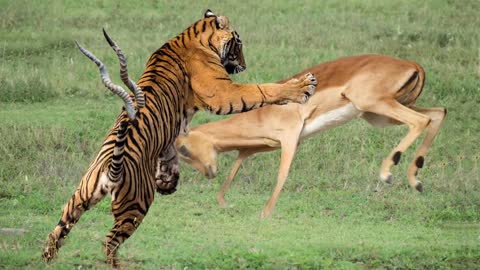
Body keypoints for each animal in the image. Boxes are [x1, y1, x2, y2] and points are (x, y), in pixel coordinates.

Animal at [43, 9, 316, 266]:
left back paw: (48, 261)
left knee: (56, 232)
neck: (192, 36)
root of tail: (111, 170)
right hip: (135, 206)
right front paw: (303, 85)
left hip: (78, 199)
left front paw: (168, 180)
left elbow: (170, 155)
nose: (244, 65)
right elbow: (261, 90)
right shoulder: (222, 92)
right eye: (238, 44)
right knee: (108, 242)